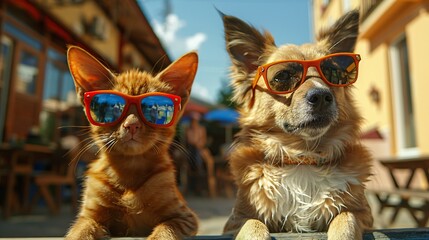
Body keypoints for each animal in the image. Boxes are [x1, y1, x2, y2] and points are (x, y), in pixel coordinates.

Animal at [65, 45, 199, 240]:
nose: (132, 124)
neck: (129, 170)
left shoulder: (184, 217)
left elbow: (166, 230)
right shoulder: (89, 217)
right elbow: (80, 232)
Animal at [221, 9, 372, 240]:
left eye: (333, 74)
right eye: (282, 76)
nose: (321, 96)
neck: (302, 157)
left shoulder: (363, 214)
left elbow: (345, 218)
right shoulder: (235, 221)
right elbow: (252, 224)